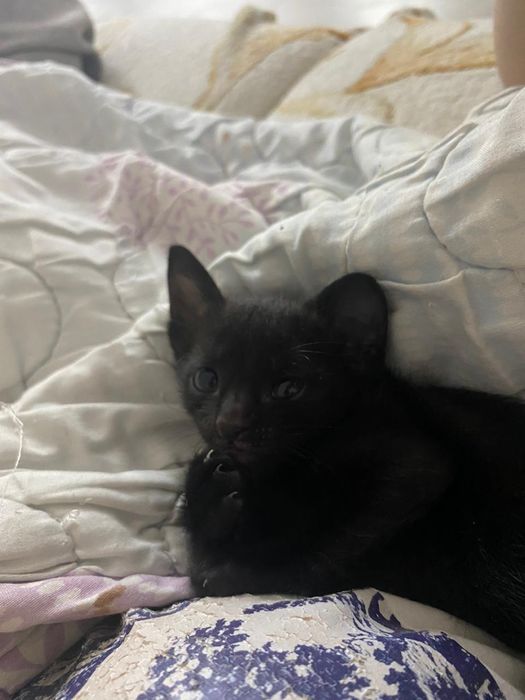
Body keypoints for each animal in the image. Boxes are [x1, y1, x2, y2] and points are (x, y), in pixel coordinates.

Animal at [167, 244, 525, 650]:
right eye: (206, 379)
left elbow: (324, 554)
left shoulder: (415, 466)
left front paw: (240, 573)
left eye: (289, 388)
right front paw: (212, 500)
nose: (230, 424)